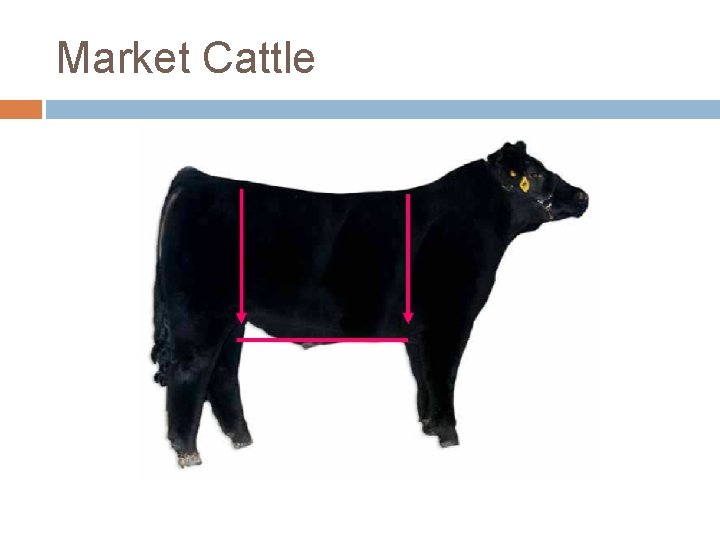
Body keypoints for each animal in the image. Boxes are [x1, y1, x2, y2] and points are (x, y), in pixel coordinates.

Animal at [151, 141, 589, 467]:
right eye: (536, 175)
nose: (582, 195)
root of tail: (197, 177)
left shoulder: (421, 329)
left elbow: (424, 377)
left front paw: (429, 426)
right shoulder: (449, 319)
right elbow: (443, 375)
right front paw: (449, 436)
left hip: (230, 320)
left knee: (222, 374)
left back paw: (242, 440)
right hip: (199, 315)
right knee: (191, 375)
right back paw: (189, 454)